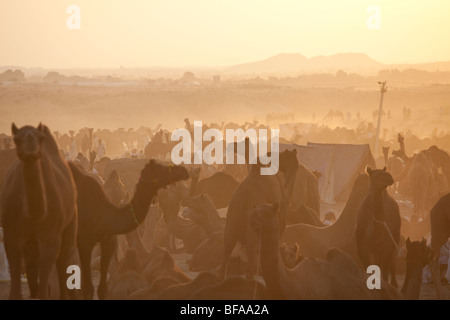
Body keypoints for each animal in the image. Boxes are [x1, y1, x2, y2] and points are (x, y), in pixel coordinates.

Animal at [0, 123, 77, 300]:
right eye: (16, 139)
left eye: (41, 139)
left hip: (71, 221)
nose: (31, 151)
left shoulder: (50, 236)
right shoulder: (11, 233)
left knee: (64, 257)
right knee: (32, 262)